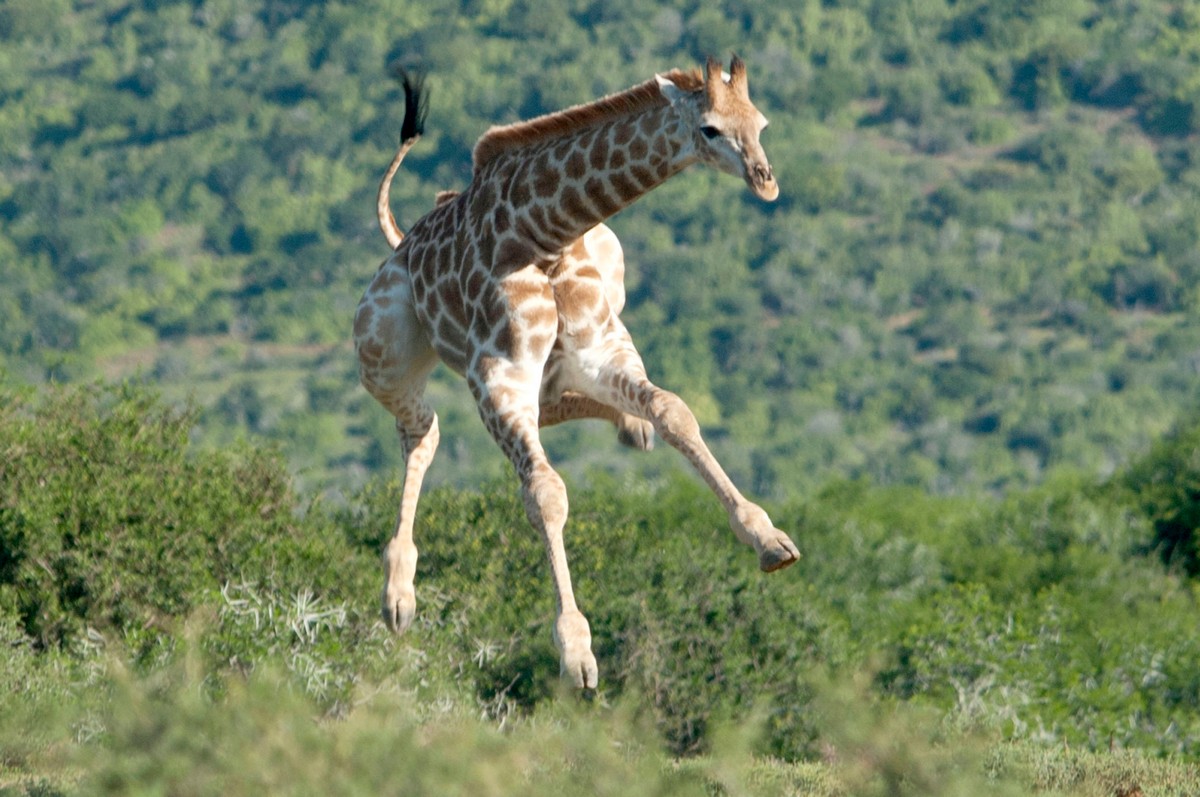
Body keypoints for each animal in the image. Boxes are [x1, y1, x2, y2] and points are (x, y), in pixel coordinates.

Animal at [350, 57, 796, 691]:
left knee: (557, 407)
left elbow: (677, 412)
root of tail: (401, 240)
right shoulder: (499, 377)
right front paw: (577, 652)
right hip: (381, 352)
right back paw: (399, 593)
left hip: (594, 312)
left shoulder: (602, 352)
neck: (547, 236)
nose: (765, 180)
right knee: (423, 429)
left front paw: (768, 538)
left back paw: (632, 429)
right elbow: (545, 493)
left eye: (760, 122)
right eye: (709, 129)